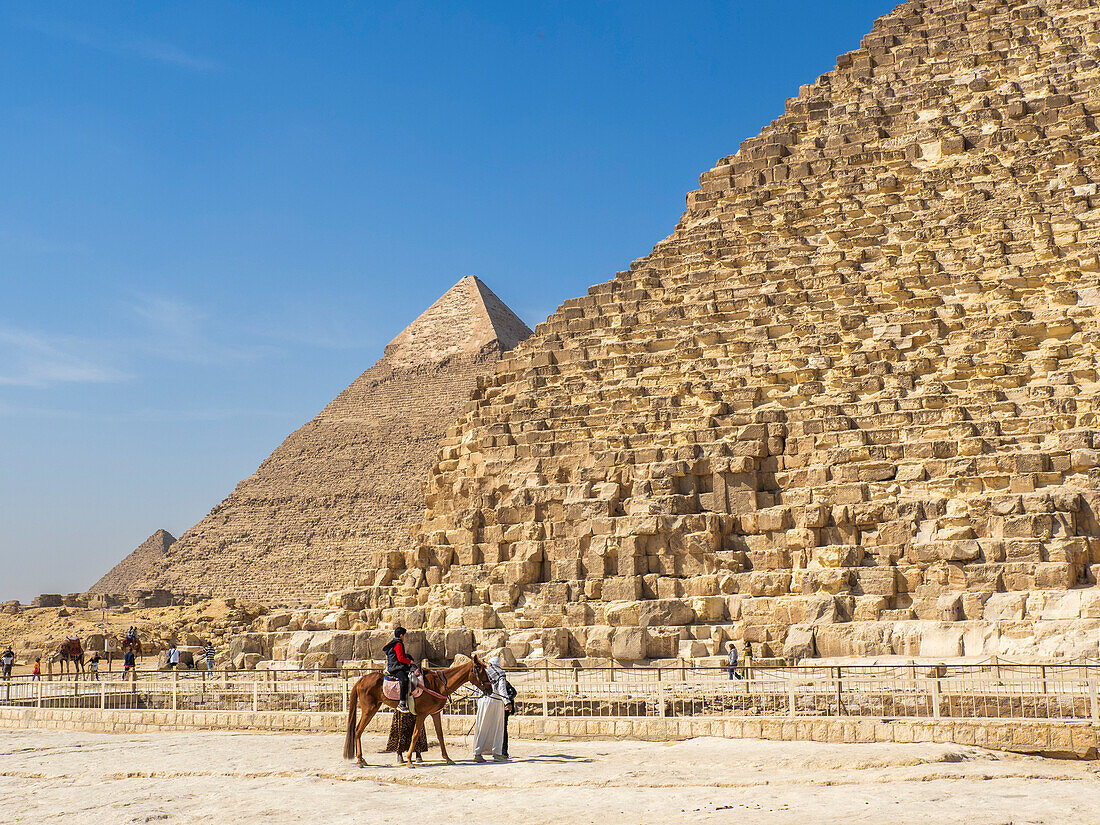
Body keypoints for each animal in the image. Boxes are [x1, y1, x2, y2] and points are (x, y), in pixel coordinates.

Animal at [341, 655, 492, 774]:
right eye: (482, 671)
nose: (490, 688)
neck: (438, 684)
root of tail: (361, 680)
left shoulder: (435, 713)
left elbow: (440, 736)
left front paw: (448, 758)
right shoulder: (422, 714)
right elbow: (415, 735)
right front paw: (409, 760)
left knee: (358, 730)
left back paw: (362, 759)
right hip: (369, 709)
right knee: (357, 730)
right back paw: (360, 760)